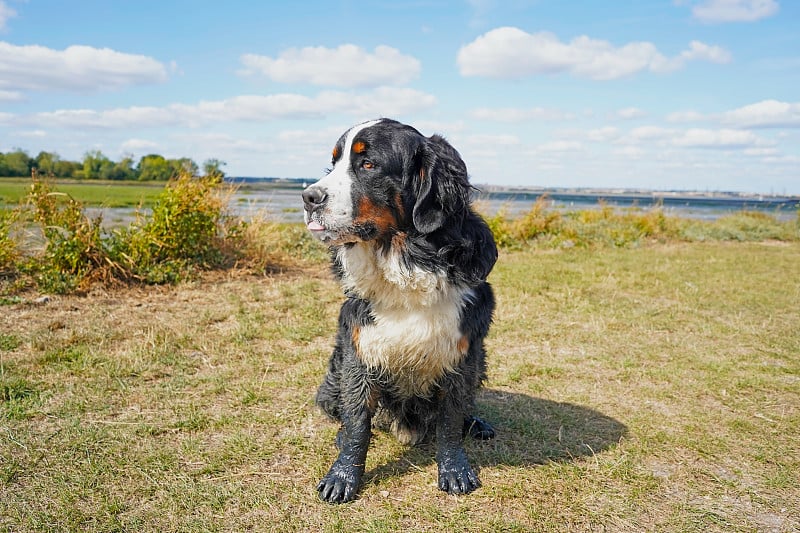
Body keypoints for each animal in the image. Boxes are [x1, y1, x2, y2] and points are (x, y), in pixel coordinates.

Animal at [304, 117, 496, 502]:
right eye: (334, 163)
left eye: (367, 164)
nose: (308, 197)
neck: (404, 258)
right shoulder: (360, 347)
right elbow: (357, 421)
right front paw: (343, 476)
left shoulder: (463, 350)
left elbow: (451, 418)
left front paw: (455, 469)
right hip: (333, 375)